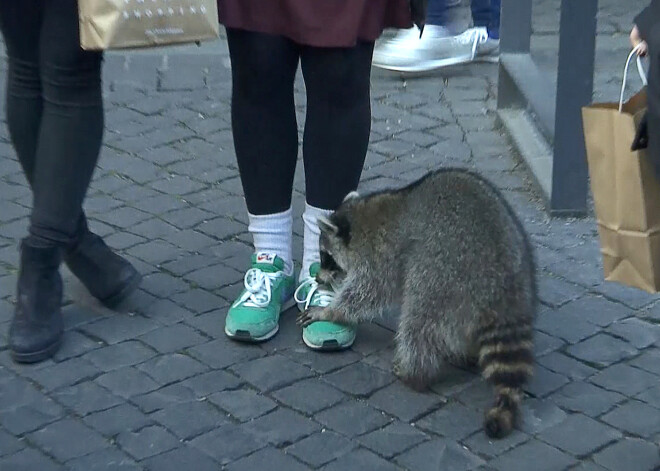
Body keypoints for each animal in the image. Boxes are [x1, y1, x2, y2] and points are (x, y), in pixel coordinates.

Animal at [300, 169, 536, 438]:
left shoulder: (381, 255)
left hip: (443, 273)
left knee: (418, 321)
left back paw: (415, 372)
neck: (360, 218)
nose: (318, 278)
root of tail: (504, 287)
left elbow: (368, 292)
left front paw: (332, 311)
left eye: (325, 256)